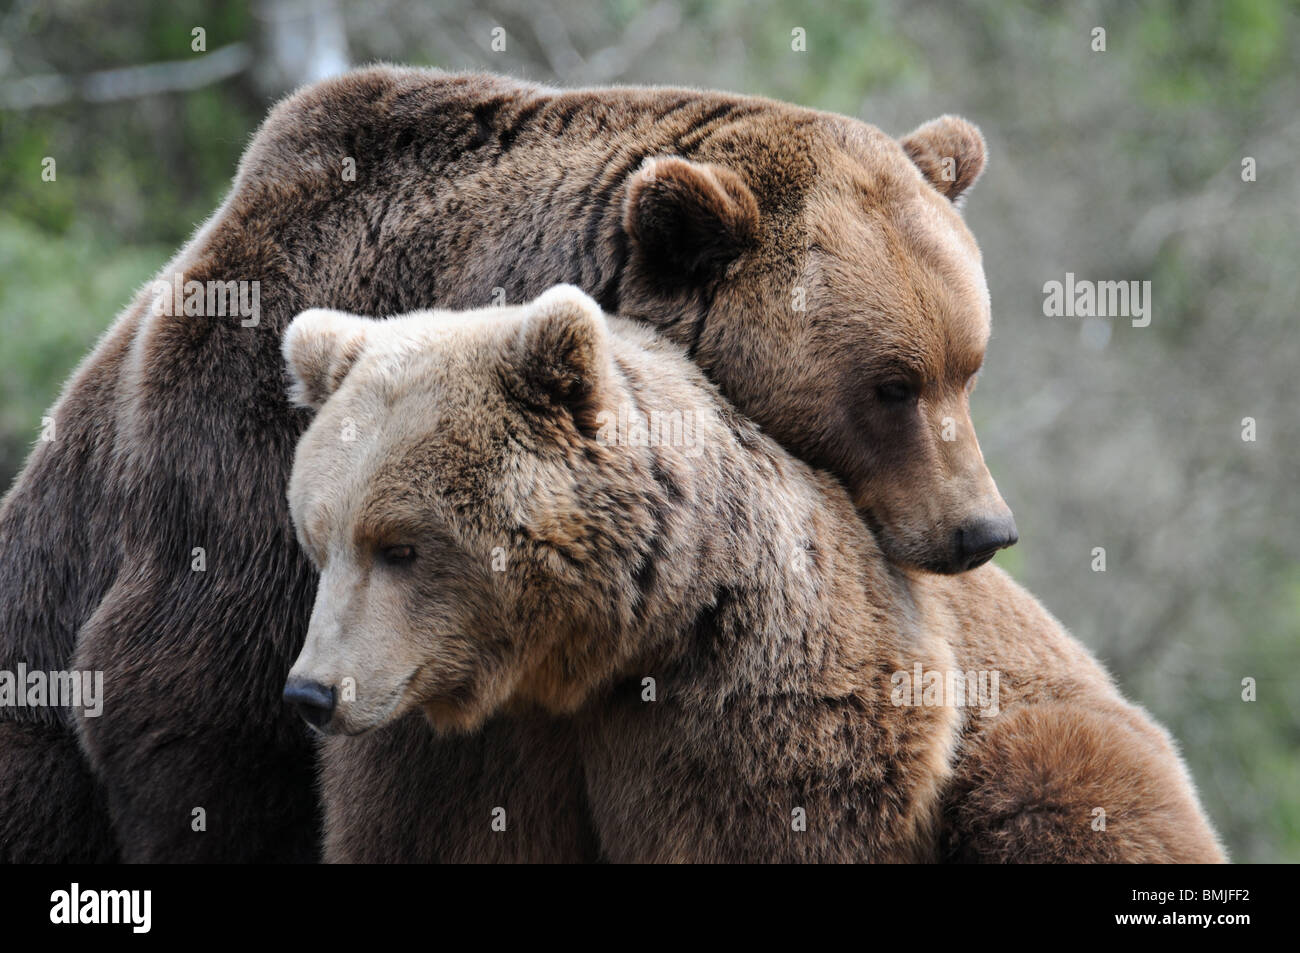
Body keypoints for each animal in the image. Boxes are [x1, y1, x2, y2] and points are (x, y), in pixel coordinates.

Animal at [279, 288, 1222, 863]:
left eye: (400, 545)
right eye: (320, 538)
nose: (312, 692)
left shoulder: (756, 701)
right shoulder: (457, 747)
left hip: (1058, 738)